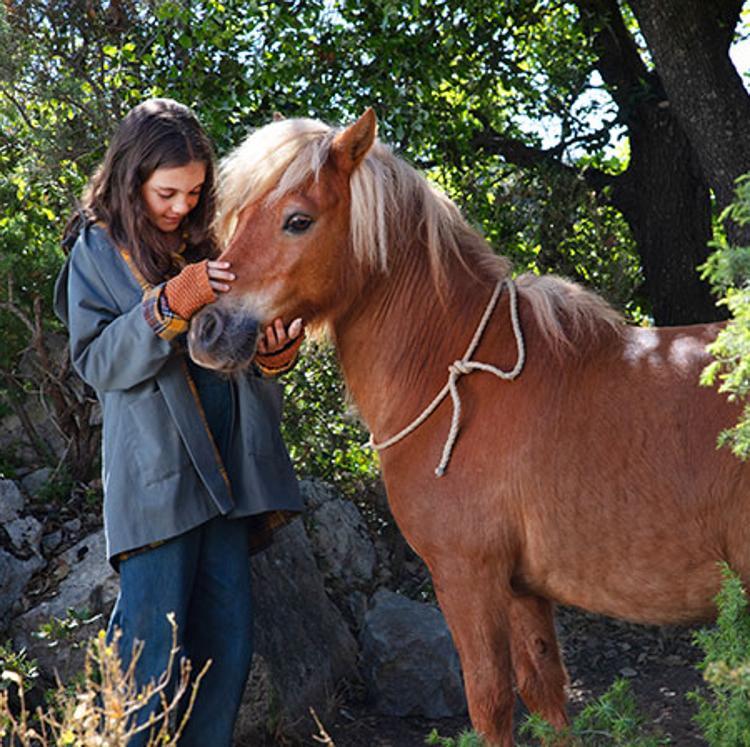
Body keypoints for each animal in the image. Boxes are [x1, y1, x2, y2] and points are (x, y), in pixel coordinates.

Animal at [187, 111, 750, 747]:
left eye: (297, 220)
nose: (206, 331)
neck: (456, 369)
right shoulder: (522, 590)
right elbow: (546, 694)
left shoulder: (466, 577)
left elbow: (489, 701)